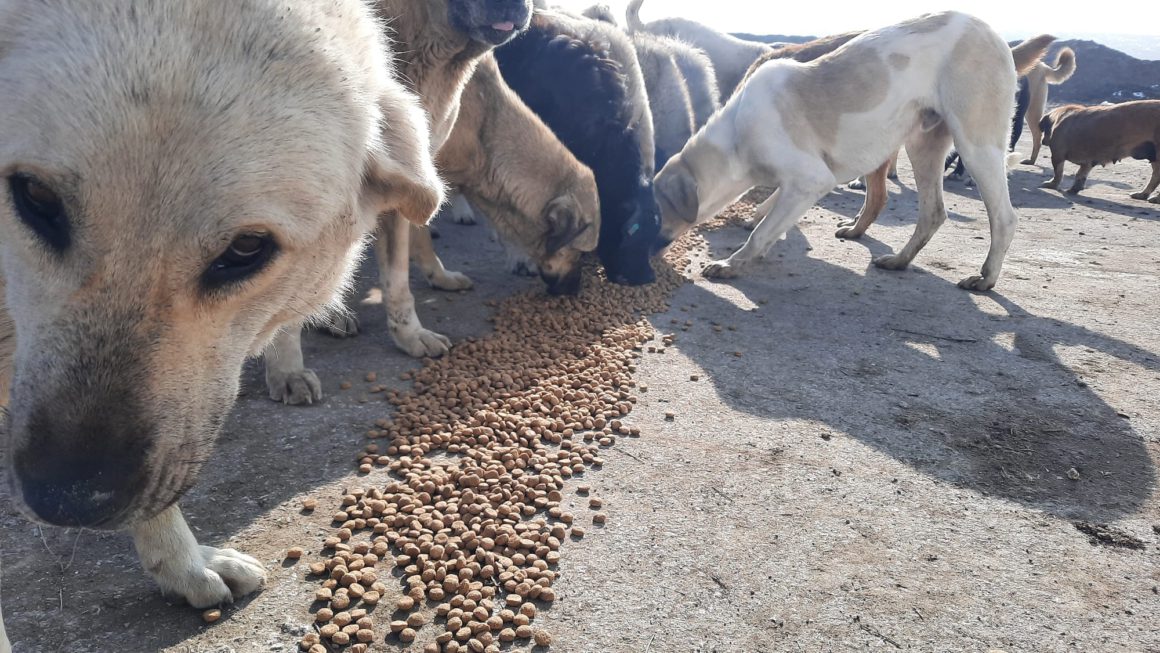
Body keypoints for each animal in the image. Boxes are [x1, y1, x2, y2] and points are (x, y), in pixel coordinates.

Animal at [654, 9, 1053, 291]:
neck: (735, 137)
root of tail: (993, 34)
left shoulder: (811, 179)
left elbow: (761, 233)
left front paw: (731, 264)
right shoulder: (800, 182)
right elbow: (770, 209)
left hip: (976, 145)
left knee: (1004, 217)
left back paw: (986, 278)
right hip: (923, 145)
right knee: (933, 213)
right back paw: (899, 261)